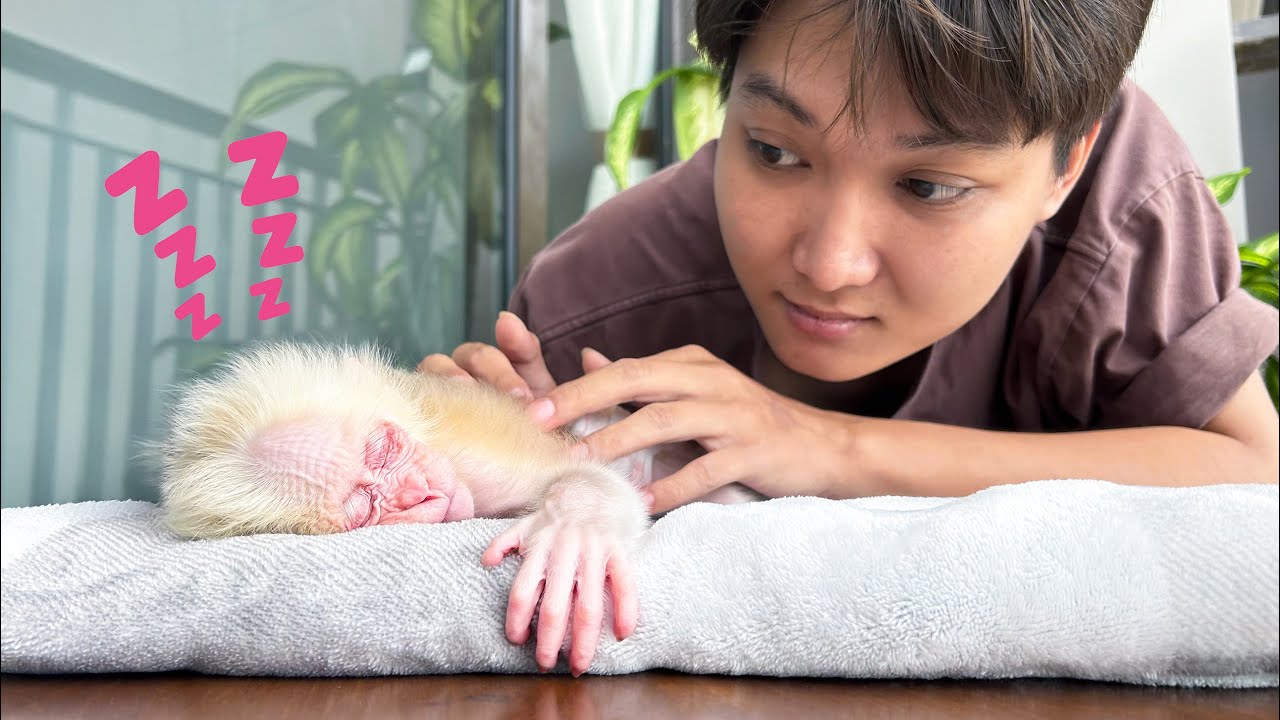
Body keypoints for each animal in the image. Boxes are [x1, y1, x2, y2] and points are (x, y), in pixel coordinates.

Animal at [152, 339, 759, 676]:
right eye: (364, 505)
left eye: (384, 449)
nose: (420, 493)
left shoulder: (469, 460)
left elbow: (590, 476)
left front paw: (573, 531)